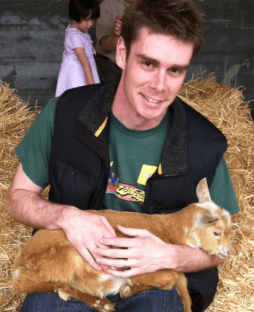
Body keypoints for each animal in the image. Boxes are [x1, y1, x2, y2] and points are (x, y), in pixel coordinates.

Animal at [11, 178, 230, 312]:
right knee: (26, 283)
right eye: (216, 232)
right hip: (63, 259)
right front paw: (126, 290)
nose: (226, 252)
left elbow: (184, 292)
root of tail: (22, 258)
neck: (168, 233)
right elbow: (167, 281)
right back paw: (99, 303)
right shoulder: (143, 267)